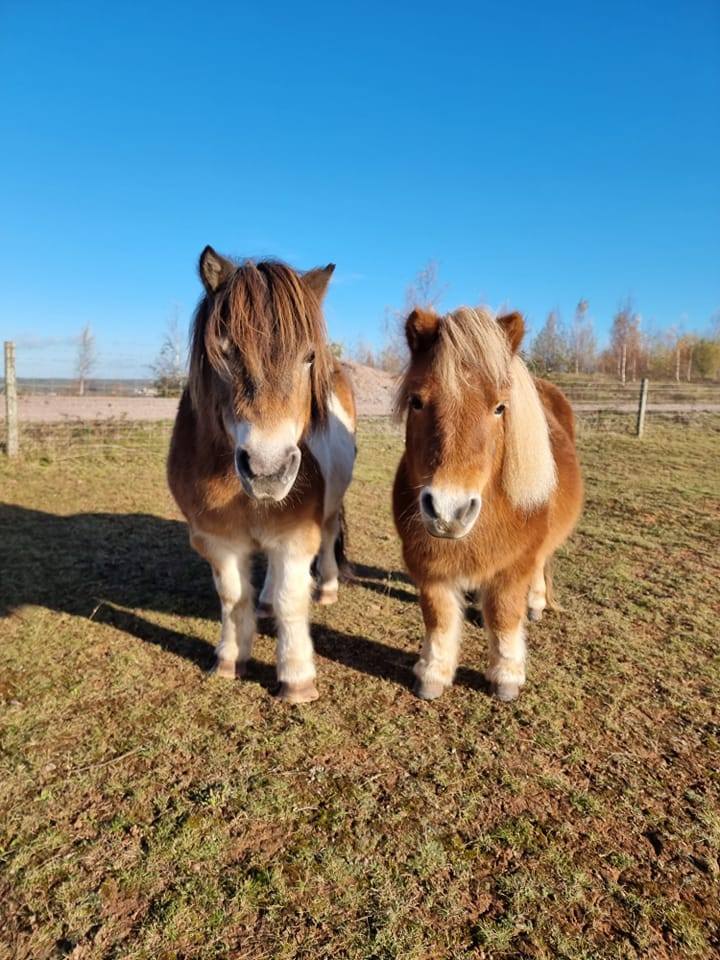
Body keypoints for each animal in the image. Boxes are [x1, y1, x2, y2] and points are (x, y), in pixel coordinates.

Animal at [168, 247, 356, 704]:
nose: (268, 471)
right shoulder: (218, 540)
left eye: (308, 357)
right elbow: (234, 598)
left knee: (328, 537)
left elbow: (292, 601)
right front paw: (228, 659)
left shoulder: (296, 536)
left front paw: (297, 678)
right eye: (224, 351)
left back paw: (326, 588)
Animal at [392, 305, 583, 702]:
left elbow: (505, 614)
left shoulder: (515, 564)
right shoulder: (427, 566)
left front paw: (507, 676)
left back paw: (535, 603)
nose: (449, 512)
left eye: (499, 408)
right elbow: (438, 617)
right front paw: (433, 673)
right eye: (417, 401)